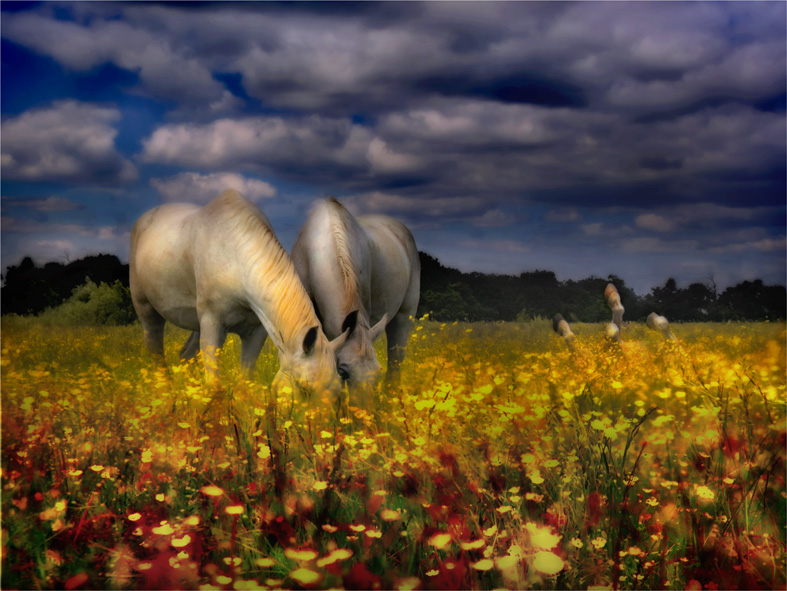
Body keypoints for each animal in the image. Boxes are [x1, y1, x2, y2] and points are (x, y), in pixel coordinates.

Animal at [130, 188, 348, 398]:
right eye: (304, 389)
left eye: (339, 391)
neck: (235, 260)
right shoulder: (212, 325)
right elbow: (215, 385)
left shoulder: (256, 332)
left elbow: (245, 383)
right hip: (148, 312)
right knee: (157, 356)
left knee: (185, 354)